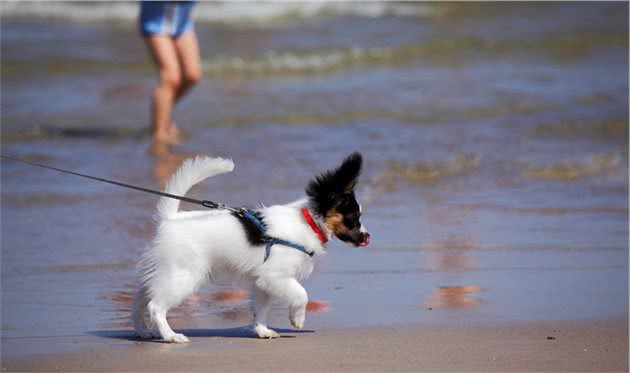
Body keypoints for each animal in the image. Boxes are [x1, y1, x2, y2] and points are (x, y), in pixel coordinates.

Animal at [133, 150, 370, 340]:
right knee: (155, 306)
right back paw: (170, 336)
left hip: (165, 272)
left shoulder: (261, 282)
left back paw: (143, 331)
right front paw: (297, 319)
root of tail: (171, 219)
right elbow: (301, 293)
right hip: (183, 275)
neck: (308, 221)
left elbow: (261, 309)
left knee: (141, 299)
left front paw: (263, 331)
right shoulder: (274, 276)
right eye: (354, 218)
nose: (367, 237)